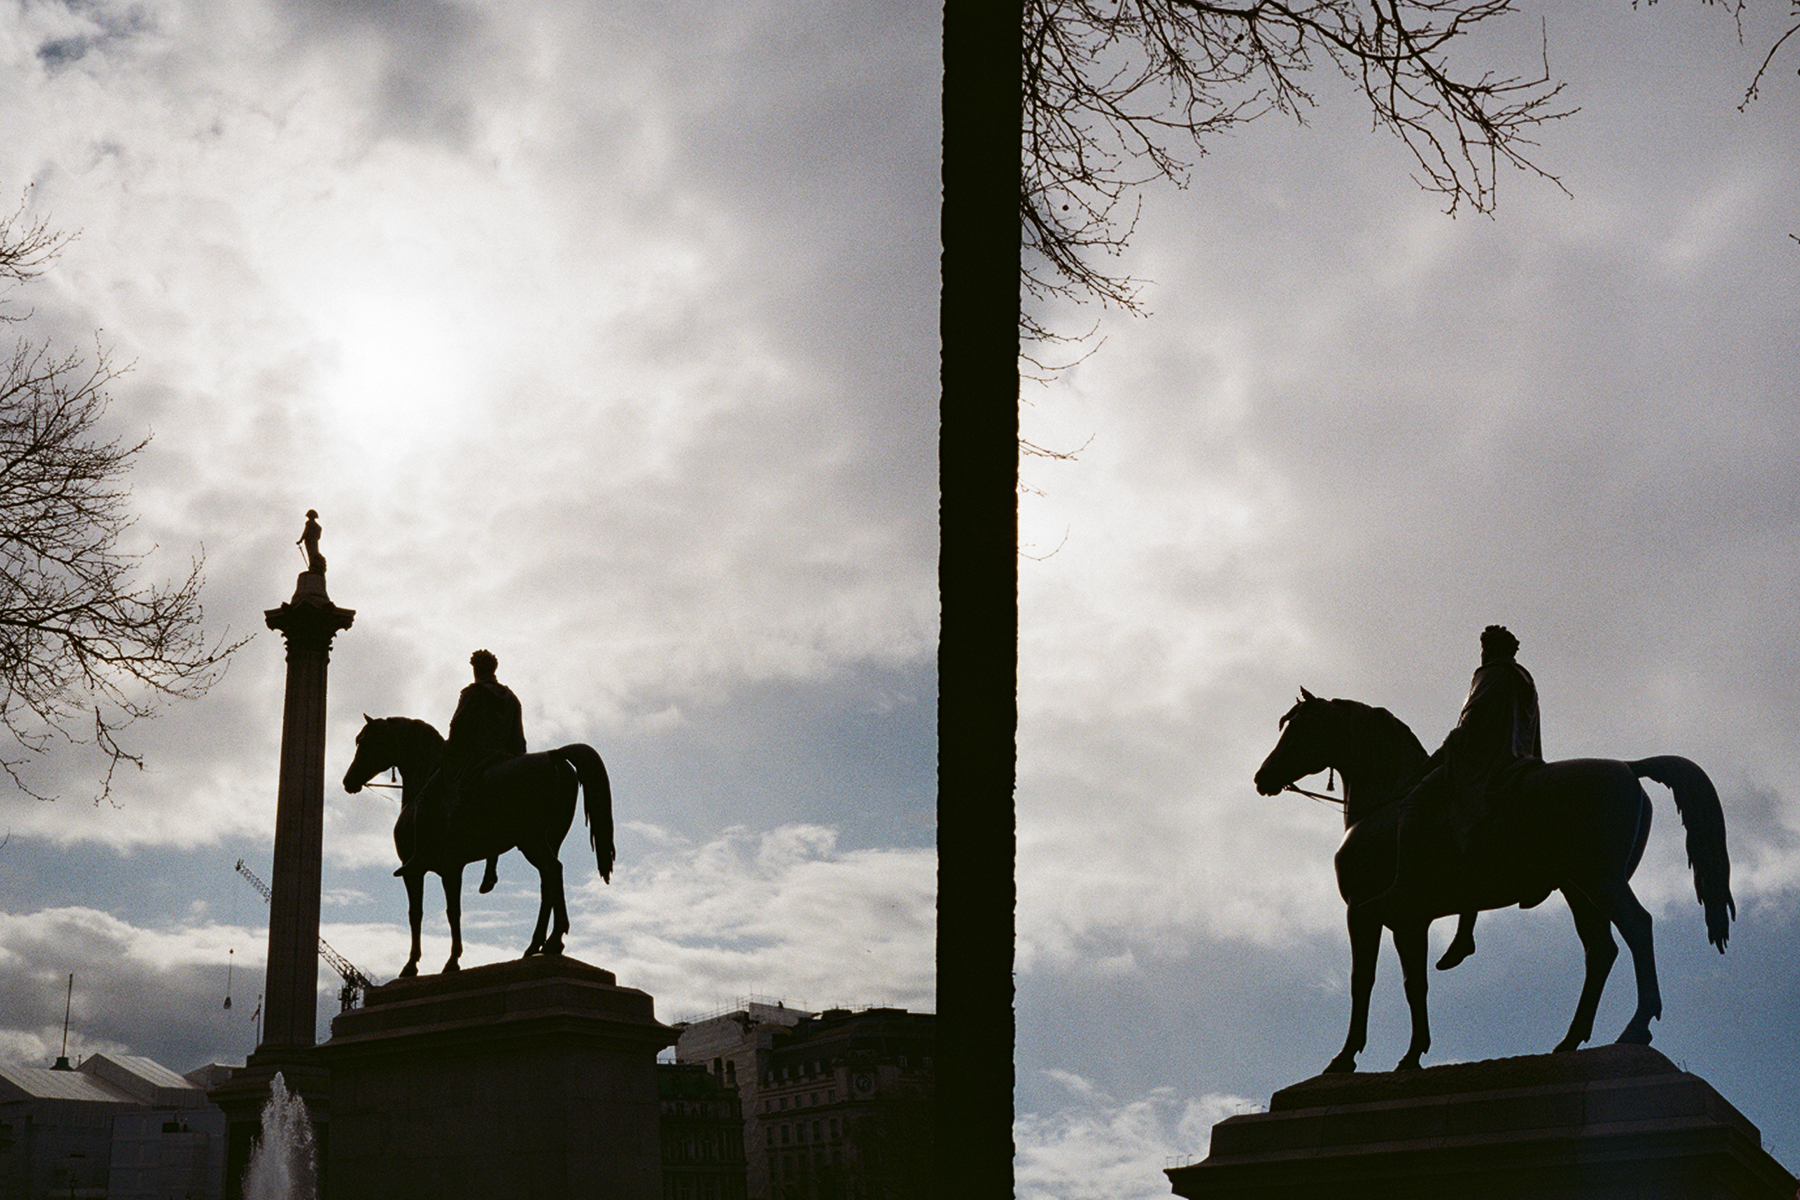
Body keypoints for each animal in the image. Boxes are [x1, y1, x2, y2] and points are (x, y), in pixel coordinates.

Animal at [340, 712, 615, 978]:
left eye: (364, 741)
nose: (347, 781)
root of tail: (553, 755)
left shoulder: (418, 870)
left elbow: (423, 914)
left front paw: (420, 965)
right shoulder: (452, 868)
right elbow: (452, 911)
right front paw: (449, 960)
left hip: (532, 840)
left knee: (553, 871)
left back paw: (554, 941)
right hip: (548, 840)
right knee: (548, 882)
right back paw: (537, 945)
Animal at [1252, 690, 1728, 1072]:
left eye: (1298, 730)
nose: (1262, 778)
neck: (1385, 806)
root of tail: (1629, 767)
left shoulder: (1364, 914)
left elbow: (1362, 981)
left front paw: (1345, 1057)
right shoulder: (1410, 920)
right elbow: (1415, 985)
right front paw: (1412, 1055)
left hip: (1601, 880)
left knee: (1637, 928)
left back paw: (1637, 1027)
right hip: (1579, 888)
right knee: (1601, 949)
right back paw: (1570, 1040)